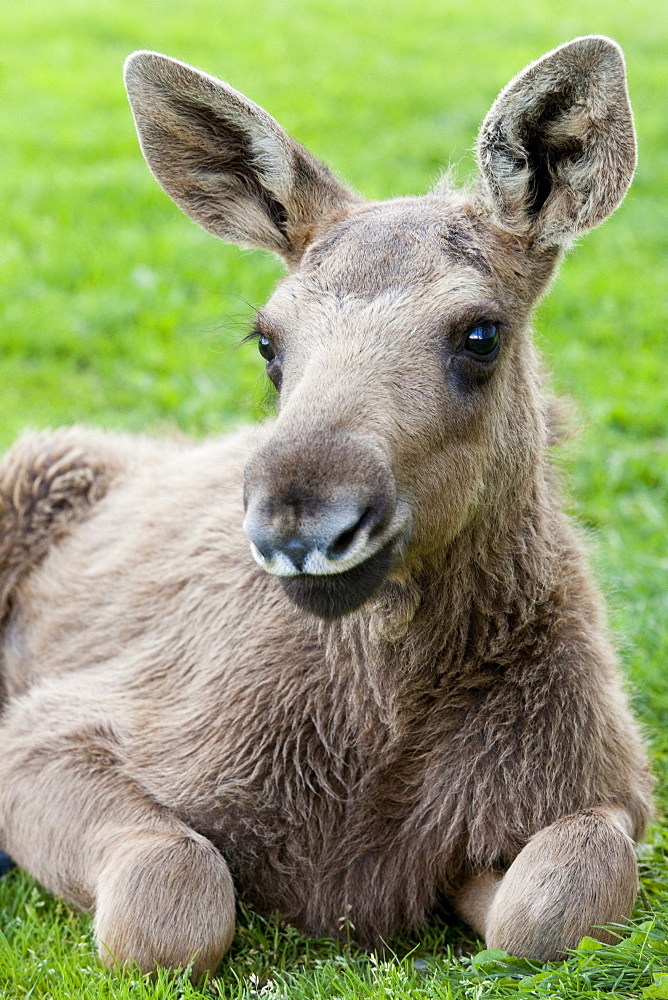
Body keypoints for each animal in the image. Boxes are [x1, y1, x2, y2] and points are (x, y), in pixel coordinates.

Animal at [0, 37, 652, 976]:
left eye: (481, 333)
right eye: (267, 341)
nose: (303, 524)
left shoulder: (611, 788)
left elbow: (553, 909)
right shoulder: (52, 727)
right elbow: (172, 901)